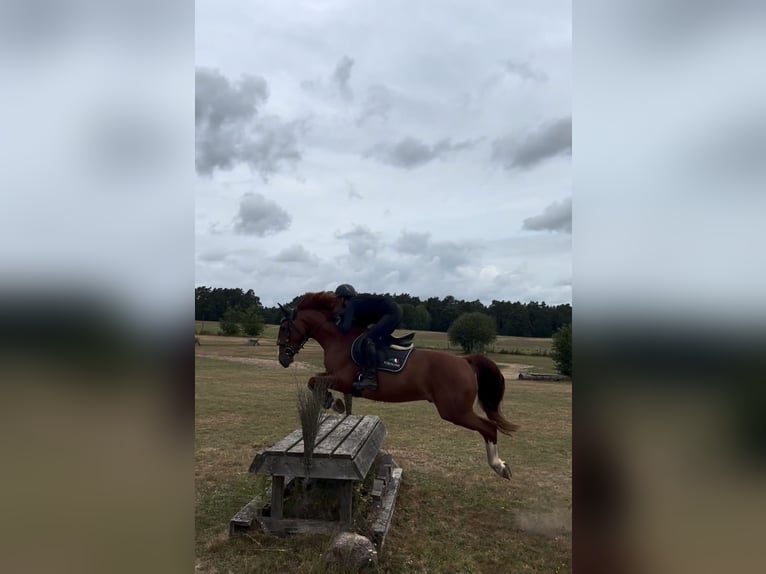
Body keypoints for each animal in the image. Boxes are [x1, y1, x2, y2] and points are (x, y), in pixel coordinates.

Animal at [276, 291, 519, 480]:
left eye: (285, 328)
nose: (283, 359)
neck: (339, 339)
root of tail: (465, 360)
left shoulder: (344, 378)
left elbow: (315, 380)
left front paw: (332, 401)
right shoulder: (336, 377)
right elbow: (315, 381)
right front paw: (331, 401)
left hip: (455, 411)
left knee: (489, 427)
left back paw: (499, 466)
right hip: (456, 410)